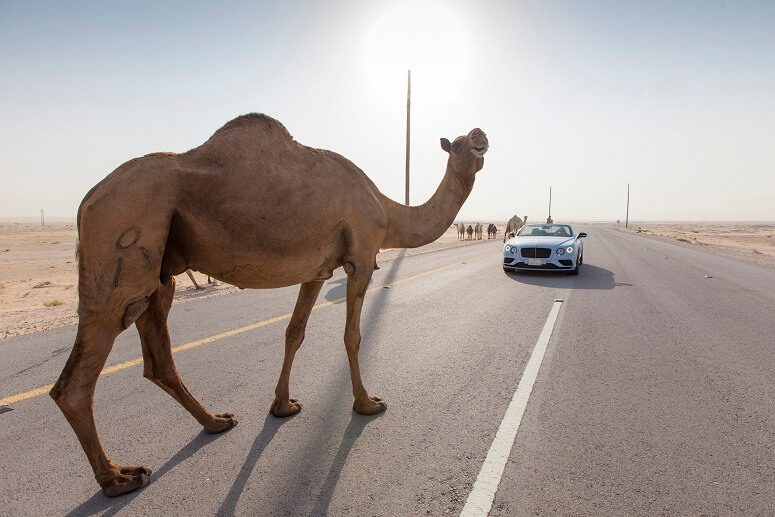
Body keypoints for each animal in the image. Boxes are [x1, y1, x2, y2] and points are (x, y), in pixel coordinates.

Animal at [48, 113, 488, 496]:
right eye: (458, 144)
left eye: (472, 137)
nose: (480, 134)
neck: (387, 211)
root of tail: (86, 201)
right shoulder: (362, 255)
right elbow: (352, 335)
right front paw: (367, 403)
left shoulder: (317, 270)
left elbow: (295, 331)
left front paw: (283, 405)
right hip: (122, 242)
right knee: (76, 381)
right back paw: (119, 478)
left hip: (159, 273)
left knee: (158, 357)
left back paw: (216, 422)